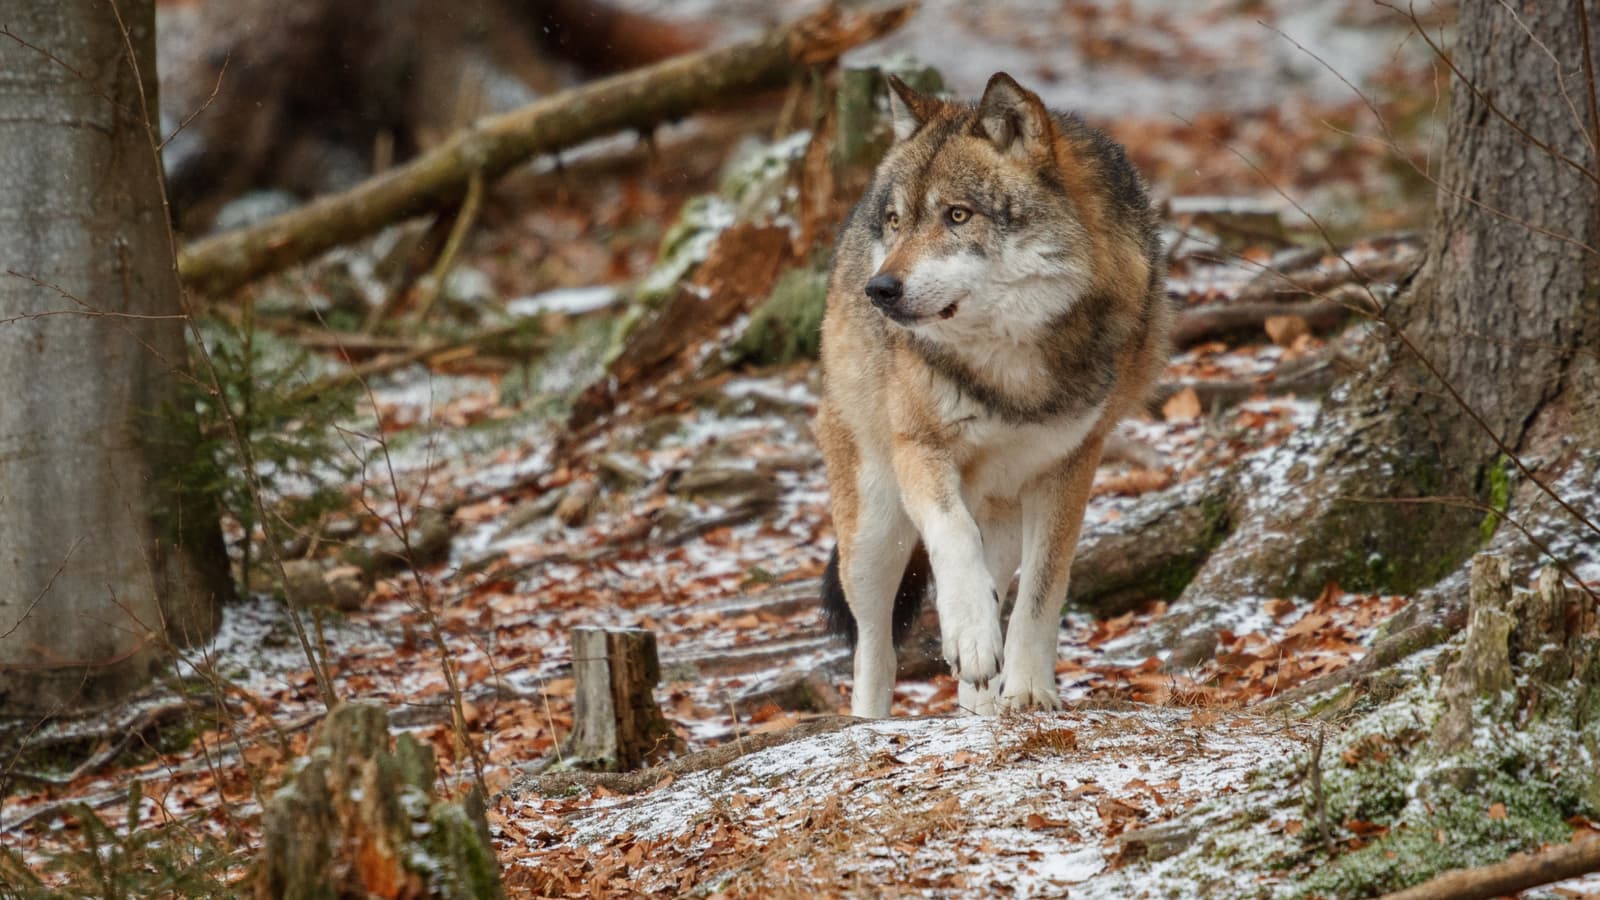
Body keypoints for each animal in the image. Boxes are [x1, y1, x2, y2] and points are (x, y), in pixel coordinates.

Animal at [815, 72, 1169, 717]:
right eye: (897, 221)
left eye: (958, 215)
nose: (879, 289)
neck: (1009, 369)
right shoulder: (919, 448)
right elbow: (952, 539)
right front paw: (973, 635)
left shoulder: (1073, 464)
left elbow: (1044, 589)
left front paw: (1028, 689)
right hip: (875, 527)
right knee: (874, 646)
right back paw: (872, 719)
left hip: (999, 510)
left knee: (993, 587)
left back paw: (978, 707)